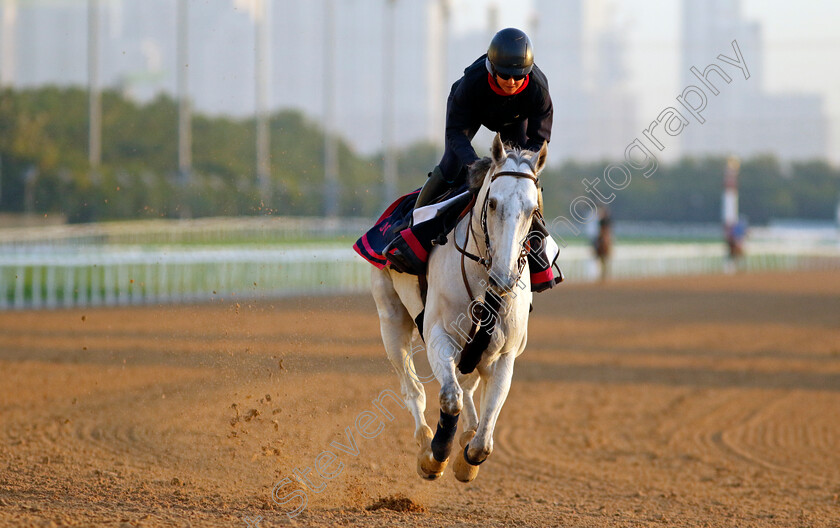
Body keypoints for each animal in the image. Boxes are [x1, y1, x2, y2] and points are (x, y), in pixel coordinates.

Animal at [370, 133, 548, 482]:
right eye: (492, 203)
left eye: (532, 209)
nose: (504, 276)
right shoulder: (439, 335)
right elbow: (449, 399)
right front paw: (435, 455)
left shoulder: (505, 353)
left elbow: (483, 440)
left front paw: (467, 458)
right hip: (391, 320)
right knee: (413, 389)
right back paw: (425, 440)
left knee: (467, 388)